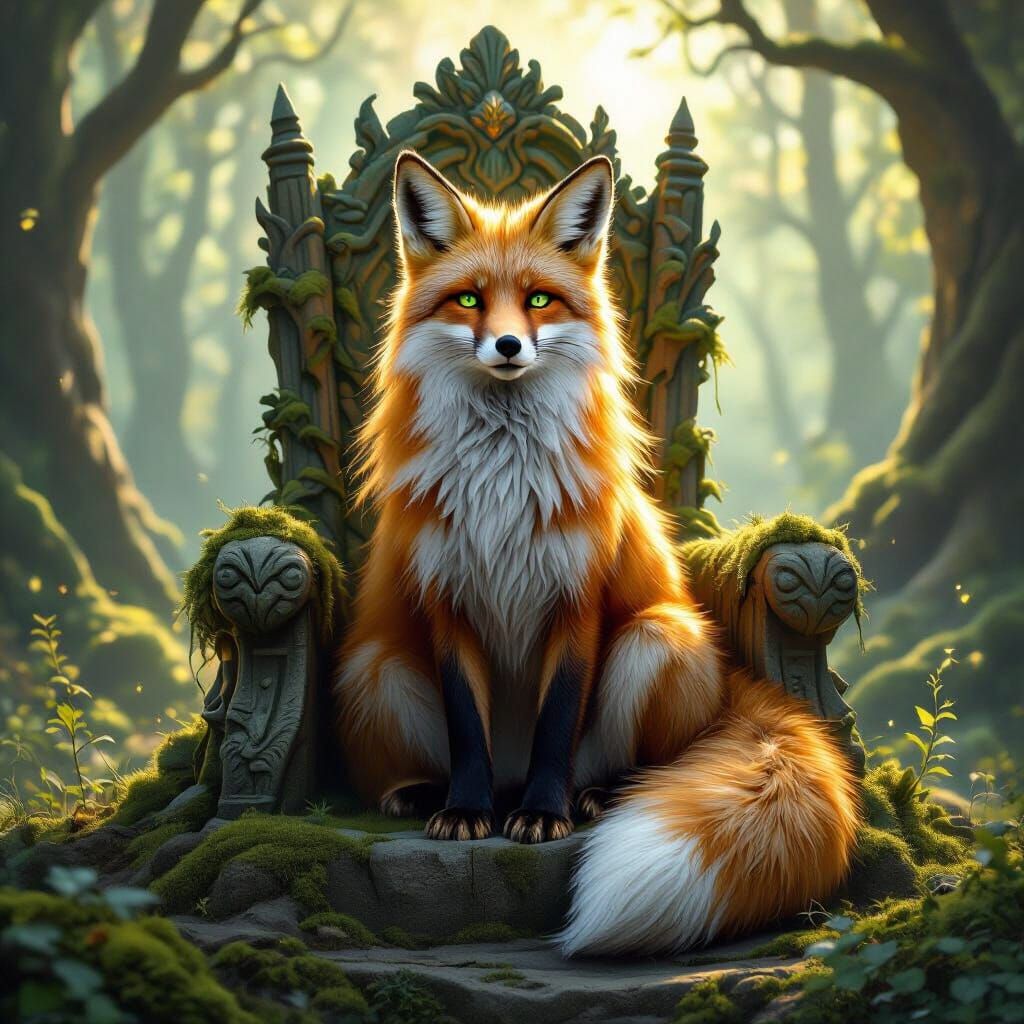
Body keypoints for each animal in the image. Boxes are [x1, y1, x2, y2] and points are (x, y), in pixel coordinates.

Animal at [334, 149, 860, 956]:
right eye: (469, 301)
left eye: (540, 300)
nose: (509, 346)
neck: (502, 480)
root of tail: (732, 686)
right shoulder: (449, 600)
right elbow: (466, 725)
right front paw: (466, 810)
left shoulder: (575, 598)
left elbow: (557, 719)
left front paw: (544, 816)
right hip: (376, 665)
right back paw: (428, 792)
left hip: (657, 635)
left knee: (641, 762)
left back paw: (590, 797)